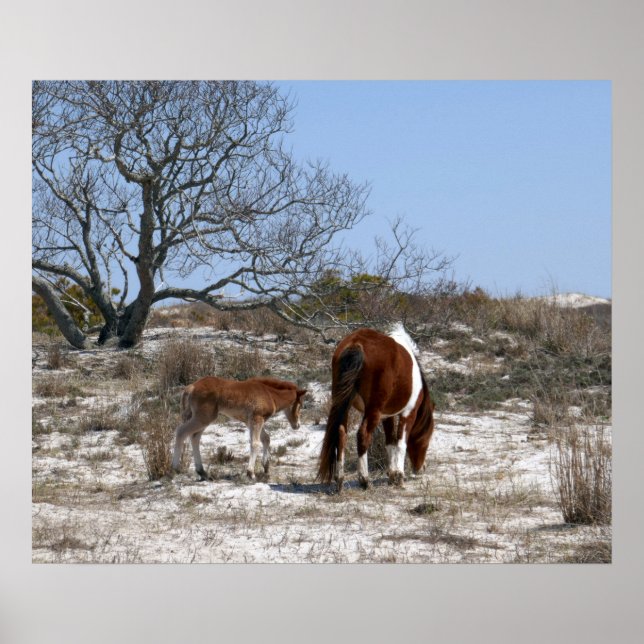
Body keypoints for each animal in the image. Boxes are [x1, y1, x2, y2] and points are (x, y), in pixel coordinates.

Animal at [172, 376, 307, 481]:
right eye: (300, 404)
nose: (297, 425)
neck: (269, 394)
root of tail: (192, 386)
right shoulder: (257, 419)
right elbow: (255, 443)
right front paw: (251, 473)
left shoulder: (250, 422)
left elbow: (266, 439)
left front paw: (266, 467)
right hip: (204, 418)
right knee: (181, 432)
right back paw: (175, 469)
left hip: (203, 419)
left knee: (195, 437)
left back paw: (203, 473)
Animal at [318, 323, 435, 493]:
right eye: (427, 439)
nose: (421, 468)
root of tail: (356, 344)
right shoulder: (408, 413)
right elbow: (401, 443)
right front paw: (399, 477)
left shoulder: (387, 416)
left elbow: (390, 442)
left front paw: (392, 475)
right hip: (373, 411)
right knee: (363, 435)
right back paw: (364, 480)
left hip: (343, 403)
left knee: (341, 433)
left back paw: (339, 480)